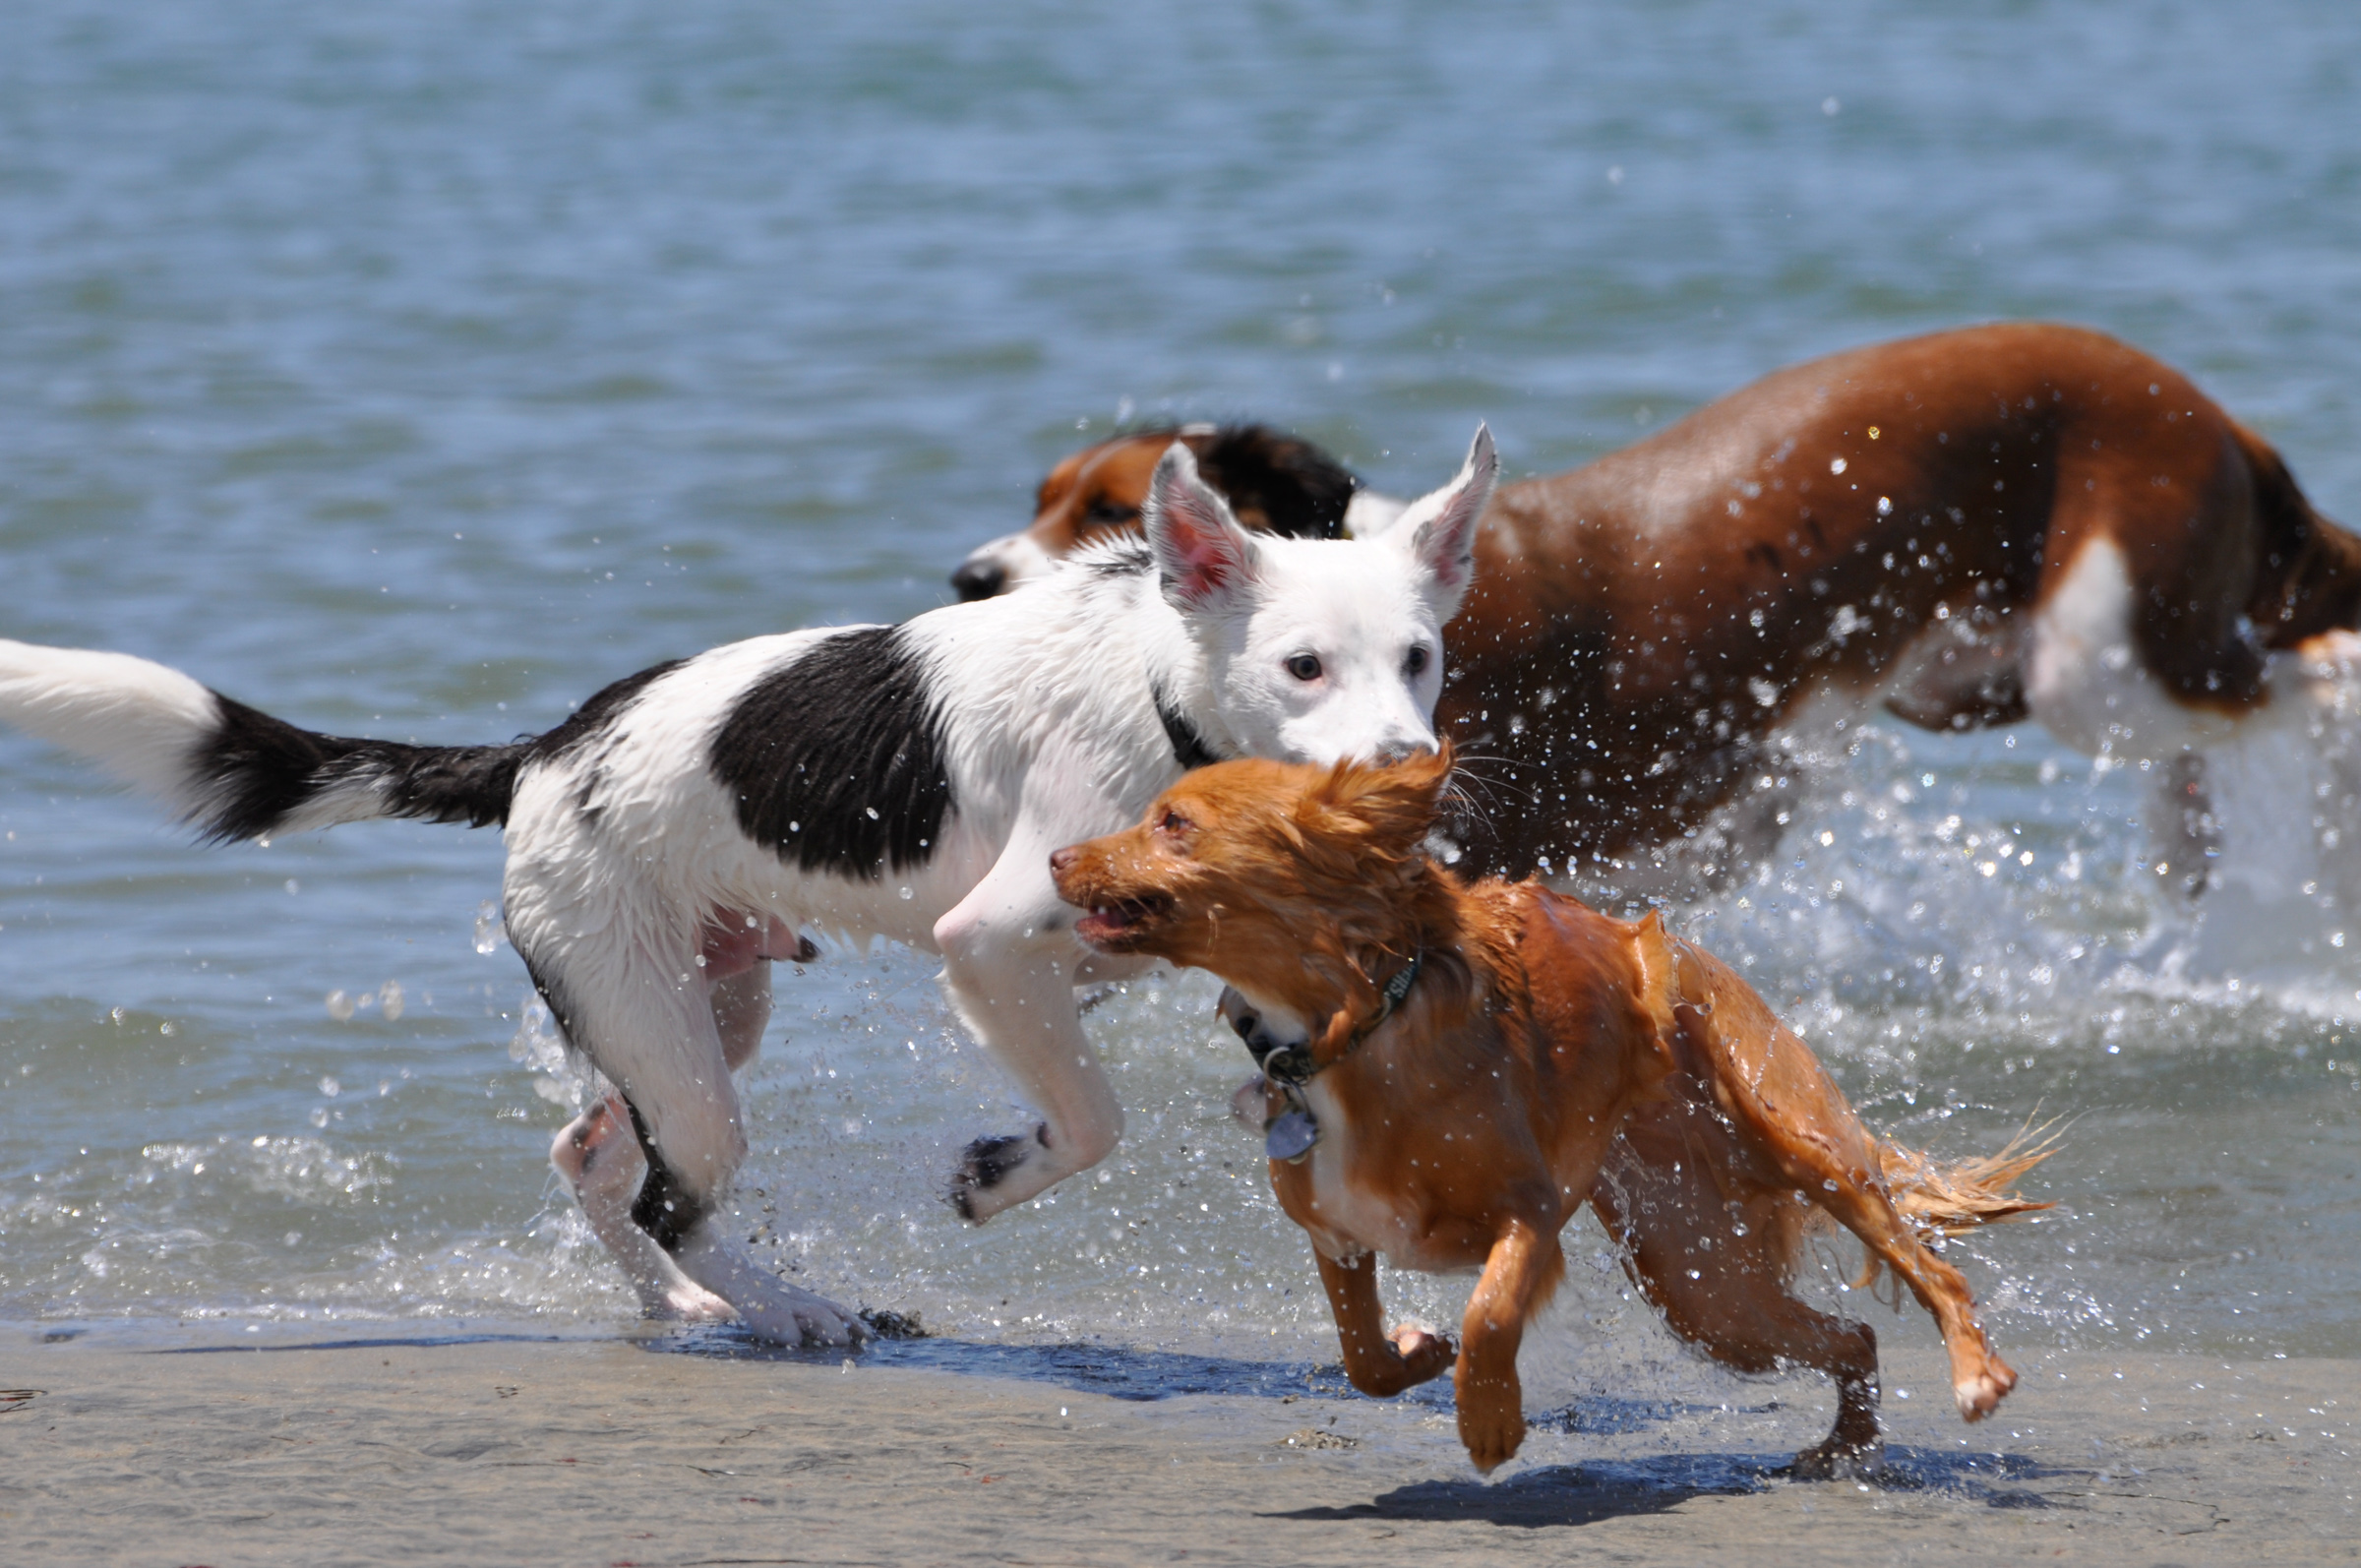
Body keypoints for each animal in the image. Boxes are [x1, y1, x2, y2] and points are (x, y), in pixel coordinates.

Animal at [4, 432, 1491, 1351]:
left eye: (1420, 657)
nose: (1407, 776)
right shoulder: (990, 944)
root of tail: (543, 752)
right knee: (681, 1199)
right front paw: (995, 1172)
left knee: (596, 1162)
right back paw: (788, 1308)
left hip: (692, 1013)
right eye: (1302, 666)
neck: (1162, 693)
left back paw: (684, 1307)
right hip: (679, 1051)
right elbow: (1092, 1119)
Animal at [987, 321, 2351, 882]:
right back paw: (2187, 837)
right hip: (1964, 682)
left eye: (1110, 512)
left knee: (2301, 682)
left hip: (2097, 655)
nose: (971, 578)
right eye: (1042, 494)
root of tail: (2220, 422)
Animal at [1053, 755, 2049, 1473]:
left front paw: (1489, 1420)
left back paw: (1976, 1373)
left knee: (1927, 1270)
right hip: (1703, 1284)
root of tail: (1686, 950)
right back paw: (1844, 1446)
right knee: (1852, 1333)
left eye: (1173, 823)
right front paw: (1417, 1351)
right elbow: (1363, 1358)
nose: (1058, 858)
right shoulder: (1336, 1230)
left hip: (1797, 1146)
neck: (1362, 1028)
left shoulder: (1528, 1211)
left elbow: (1491, 1316)